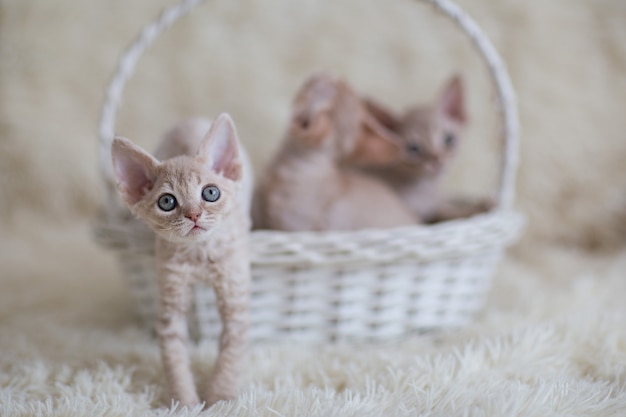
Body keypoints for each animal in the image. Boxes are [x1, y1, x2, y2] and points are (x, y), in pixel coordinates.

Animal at [111, 113, 250, 406]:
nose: (194, 215)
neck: (198, 253)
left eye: (210, 193)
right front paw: (185, 402)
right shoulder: (170, 308)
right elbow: (174, 359)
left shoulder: (235, 300)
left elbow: (230, 356)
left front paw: (219, 400)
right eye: (167, 202)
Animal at [364, 75, 490, 224]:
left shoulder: (437, 206)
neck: (427, 187)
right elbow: (447, 214)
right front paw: (478, 208)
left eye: (449, 139)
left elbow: (450, 207)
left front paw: (478, 205)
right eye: (413, 149)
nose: (436, 159)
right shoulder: (426, 218)